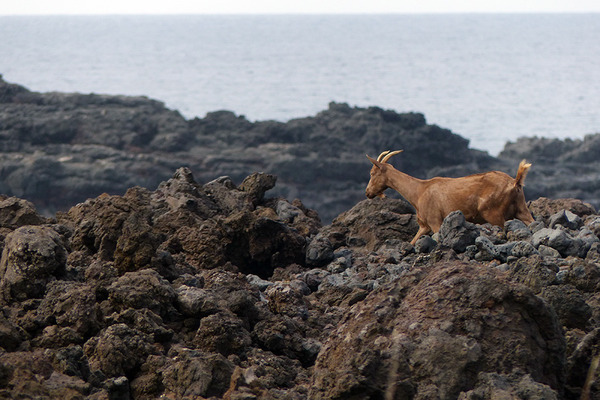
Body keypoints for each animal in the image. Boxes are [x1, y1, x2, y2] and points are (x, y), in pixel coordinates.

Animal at [366, 149, 536, 244]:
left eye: (372, 173)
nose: (368, 193)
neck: (419, 190)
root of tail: (514, 182)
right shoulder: (424, 226)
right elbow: (413, 242)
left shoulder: (435, 222)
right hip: (521, 209)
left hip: (493, 214)